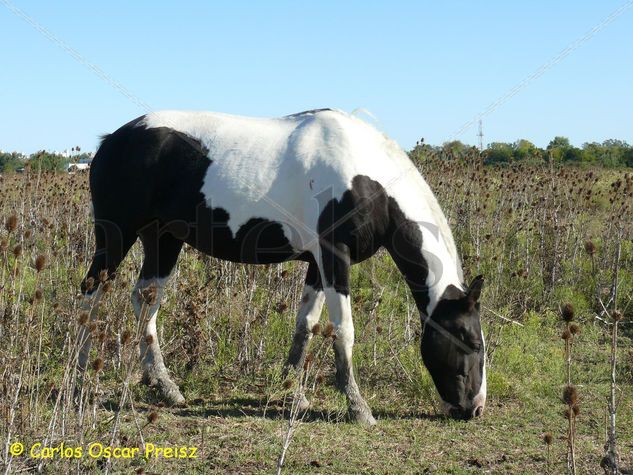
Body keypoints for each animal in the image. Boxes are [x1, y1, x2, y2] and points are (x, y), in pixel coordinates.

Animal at [78, 109, 484, 426]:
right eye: (471, 341)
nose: (474, 408)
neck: (365, 177)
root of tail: (111, 141)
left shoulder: (317, 264)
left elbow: (306, 325)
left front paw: (294, 394)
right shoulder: (334, 257)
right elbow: (343, 330)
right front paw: (358, 407)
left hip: (162, 239)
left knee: (145, 299)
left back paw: (163, 386)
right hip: (116, 236)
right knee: (90, 294)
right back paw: (83, 378)